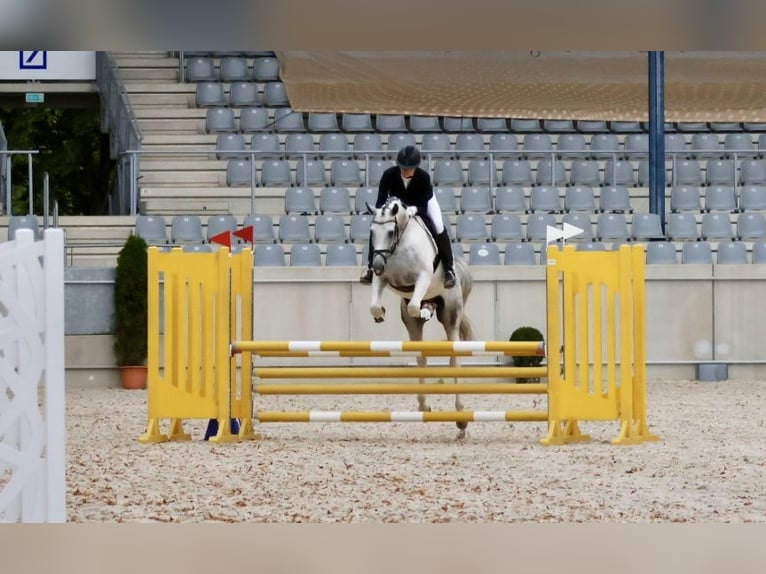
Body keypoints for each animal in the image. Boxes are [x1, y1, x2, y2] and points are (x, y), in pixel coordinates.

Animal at [366, 198, 474, 440]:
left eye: (390, 232)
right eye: (372, 232)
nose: (376, 266)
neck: (399, 246)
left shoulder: (423, 277)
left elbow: (415, 304)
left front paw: (423, 309)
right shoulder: (383, 279)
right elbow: (375, 305)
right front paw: (380, 313)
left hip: (451, 314)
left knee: (455, 358)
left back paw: (461, 418)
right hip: (412, 324)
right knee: (420, 357)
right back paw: (424, 405)